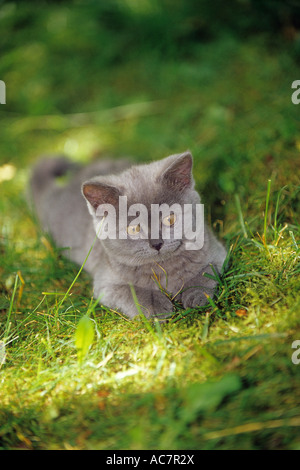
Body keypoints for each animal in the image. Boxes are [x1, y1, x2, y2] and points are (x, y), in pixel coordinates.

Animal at [31, 151, 227, 320]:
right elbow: (131, 291)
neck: (162, 268)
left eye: (170, 219)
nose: (157, 243)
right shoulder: (106, 284)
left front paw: (196, 294)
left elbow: (205, 271)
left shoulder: (217, 252)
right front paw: (155, 306)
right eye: (134, 229)